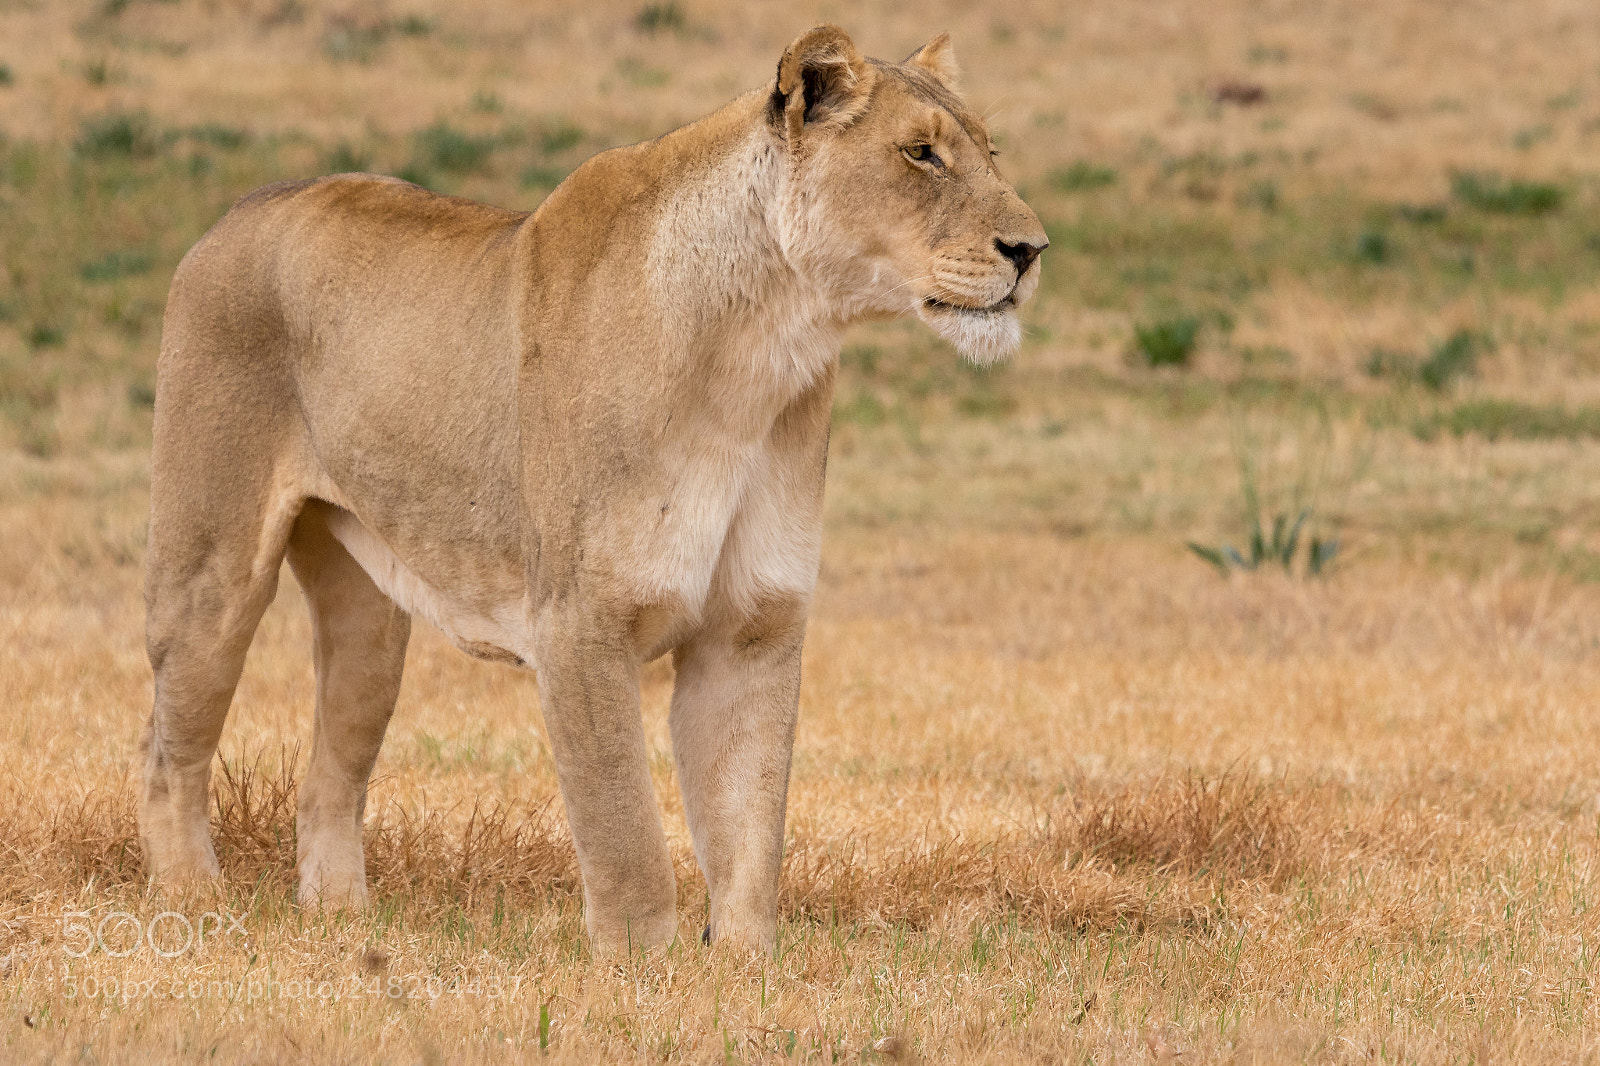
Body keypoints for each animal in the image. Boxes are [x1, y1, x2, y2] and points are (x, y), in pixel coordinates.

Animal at [138, 24, 1047, 956]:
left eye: (990, 151)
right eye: (921, 153)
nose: (1031, 251)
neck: (763, 350)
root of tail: (240, 208)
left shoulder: (753, 624)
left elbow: (751, 827)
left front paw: (751, 967)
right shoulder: (579, 620)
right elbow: (626, 831)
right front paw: (641, 970)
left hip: (370, 618)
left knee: (329, 773)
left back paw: (344, 922)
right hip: (213, 568)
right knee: (165, 749)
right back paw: (193, 906)